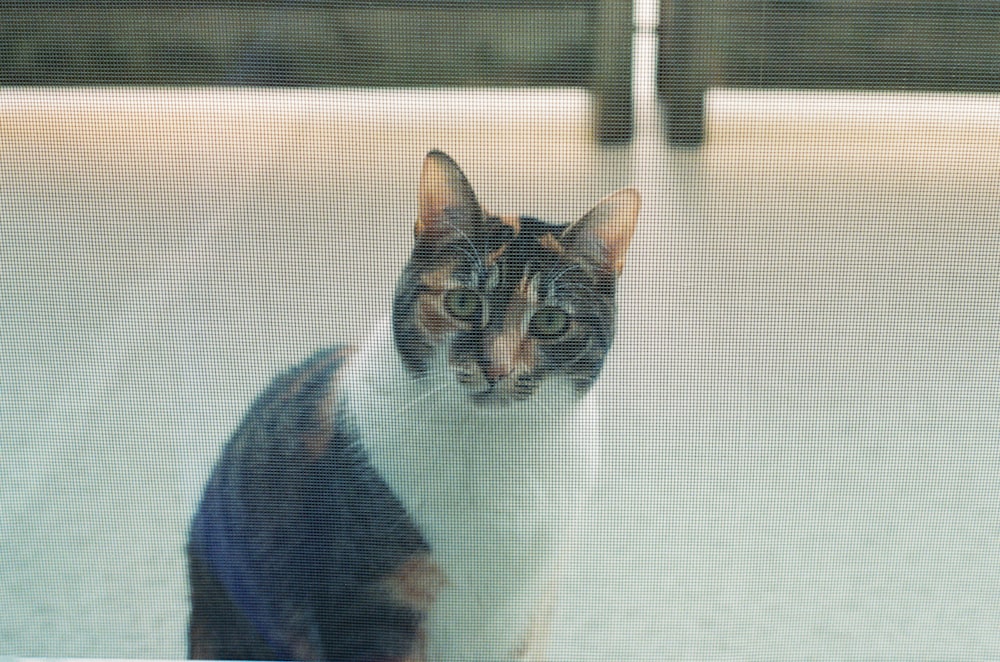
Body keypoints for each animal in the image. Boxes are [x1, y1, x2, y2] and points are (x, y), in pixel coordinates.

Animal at [188, 152, 640, 662]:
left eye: (550, 321)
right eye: (462, 302)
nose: (496, 368)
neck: (498, 451)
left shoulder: (529, 613)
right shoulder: (369, 612)